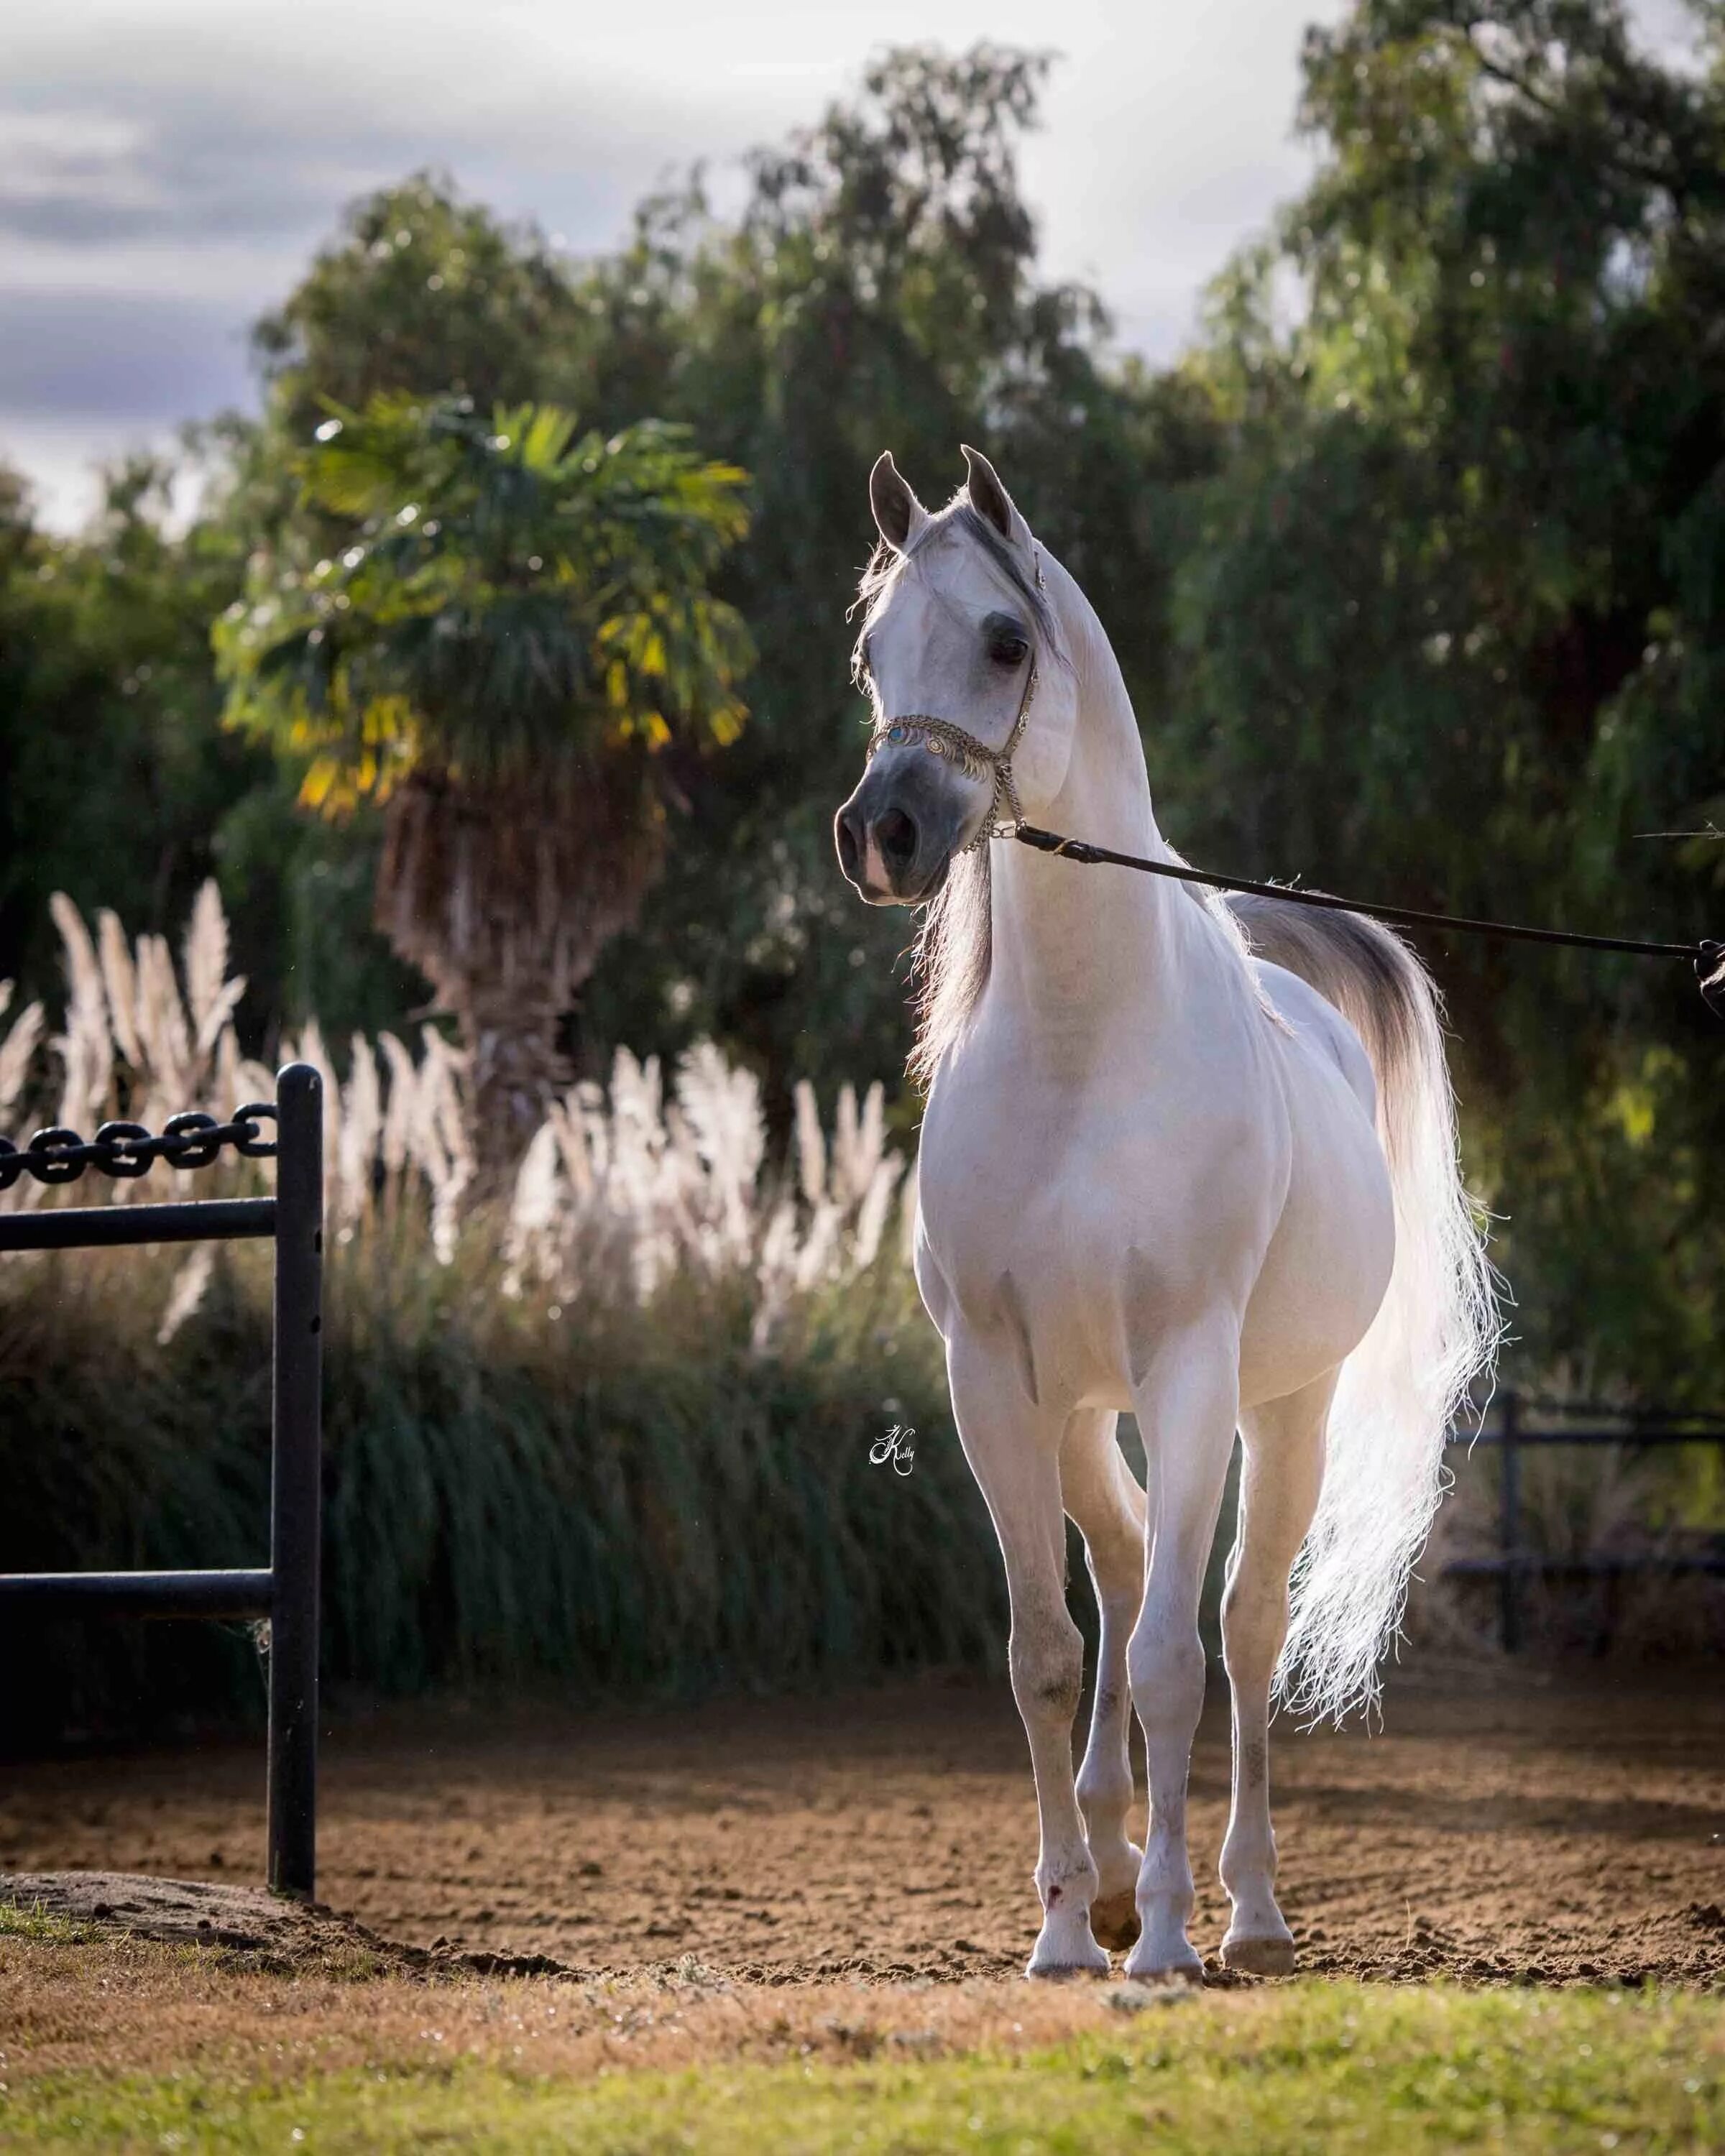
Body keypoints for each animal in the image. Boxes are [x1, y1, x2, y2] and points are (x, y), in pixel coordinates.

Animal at [837, 446, 1492, 1975]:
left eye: (1005, 641)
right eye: (871, 651)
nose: (881, 834)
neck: (1087, 1050)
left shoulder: (1191, 1373)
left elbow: (1178, 1663)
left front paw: (1167, 1948)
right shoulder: (993, 1380)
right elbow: (1047, 1652)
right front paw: (1068, 1935)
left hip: (1281, 1412)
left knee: (1240, 1628)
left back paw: (1245, 1911)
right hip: (1084, 1410)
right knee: (1131, 1566)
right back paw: (1117, 1867)